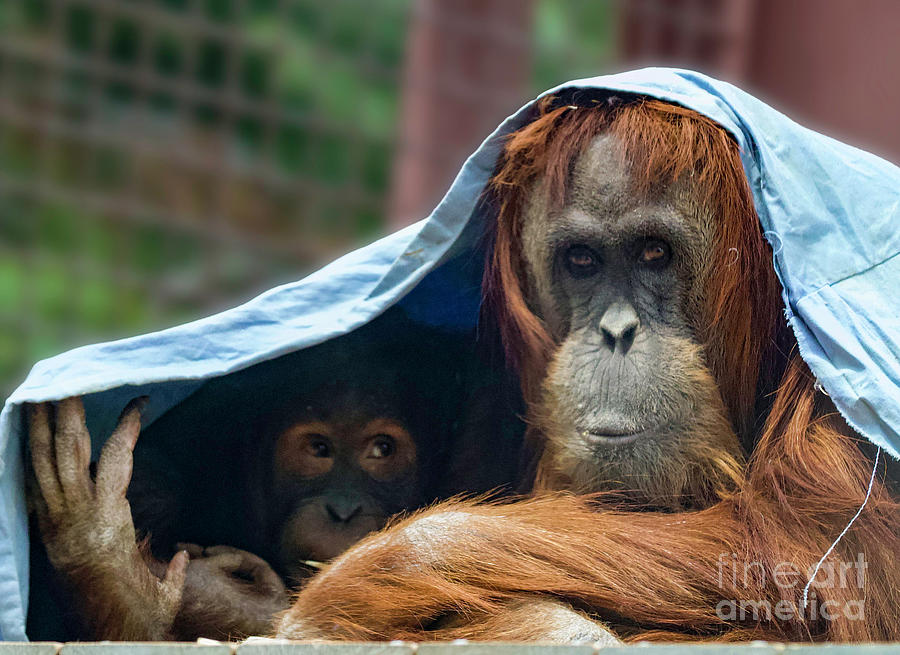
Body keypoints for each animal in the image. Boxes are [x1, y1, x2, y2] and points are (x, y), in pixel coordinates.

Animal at [26, 307, 523, 641]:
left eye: (381, 449)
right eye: (318, 449)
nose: (343, 510)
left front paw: (221, 598)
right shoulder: (163, 473)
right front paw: (100, 552)